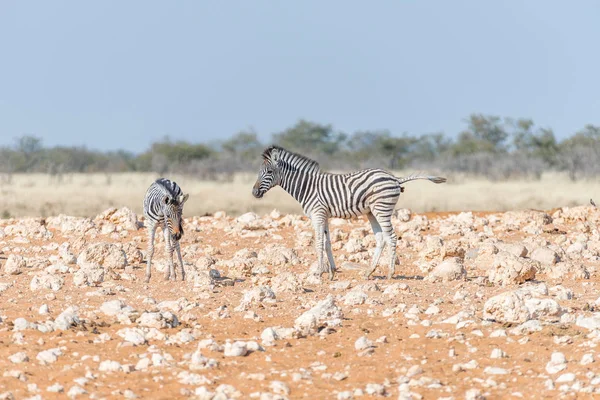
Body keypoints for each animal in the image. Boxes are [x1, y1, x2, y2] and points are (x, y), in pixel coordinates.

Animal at [252, 147, 446, 282]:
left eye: (269, 172)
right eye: (259, 172)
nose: (254, 192)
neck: (307, 187)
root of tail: (395, 178)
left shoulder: (318, 214)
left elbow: (319, 243)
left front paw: (318, 273)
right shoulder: (324, 215)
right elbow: (327, 243)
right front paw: (331, 272)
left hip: (381, 208)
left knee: (391, 236)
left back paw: (391, 273)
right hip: (372, 212)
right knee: (381, 238)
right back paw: (369, 272)